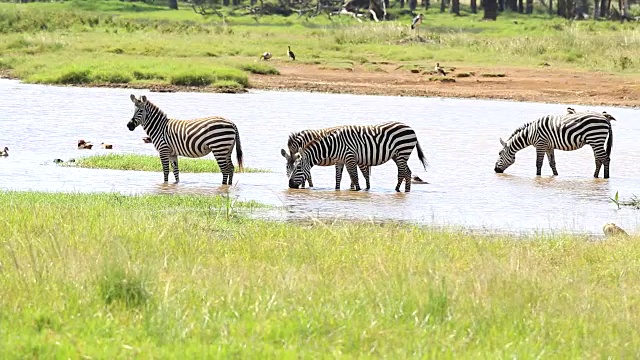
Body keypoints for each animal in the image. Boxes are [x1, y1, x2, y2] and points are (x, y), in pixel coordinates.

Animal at [288, 121, 428, 194]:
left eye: (298, 168)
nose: (289, 185)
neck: (333, 146)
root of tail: (411, 128)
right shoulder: (339, 161)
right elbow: (338, 177)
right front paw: (337, 191)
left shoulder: (350, 157)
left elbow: (354, 176)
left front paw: (358, 190)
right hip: (397, 155)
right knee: (406, 172)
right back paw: (403, 190)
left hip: (402, 153)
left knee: (405, 172)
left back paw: (401, 190)